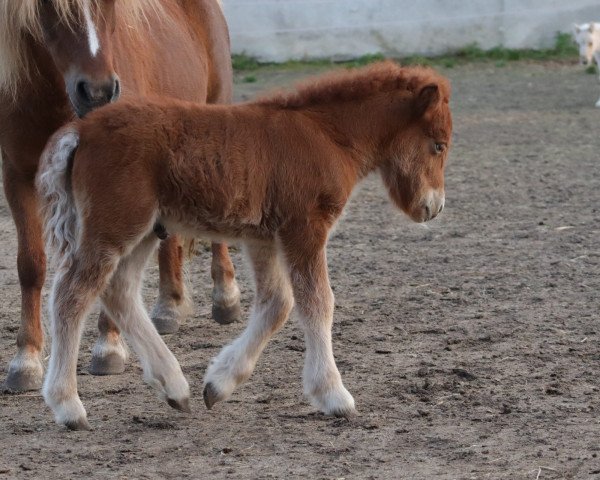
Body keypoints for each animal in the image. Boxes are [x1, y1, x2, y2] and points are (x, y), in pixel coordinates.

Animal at [0, 0, 239, 394]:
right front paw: (26, 361)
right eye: (48, 7)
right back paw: (168, 307)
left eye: (109, 4)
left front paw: (108, 348)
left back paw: (226, 298)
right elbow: (30, 265)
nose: (97, 92)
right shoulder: (18, 175)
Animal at [37, 62, 450, 430]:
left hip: (146, 230)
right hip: (116, 225)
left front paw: (218, 384)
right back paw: (68, 407)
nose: (433, 207)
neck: (328, 136)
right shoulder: (305, 228)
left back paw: (175, 387)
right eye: (438, 145)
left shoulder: (262, 237)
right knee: (72, 295)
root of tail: (81, 130)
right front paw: (334, 396)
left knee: (119, 291)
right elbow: (318, 302)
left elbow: (277, 304)